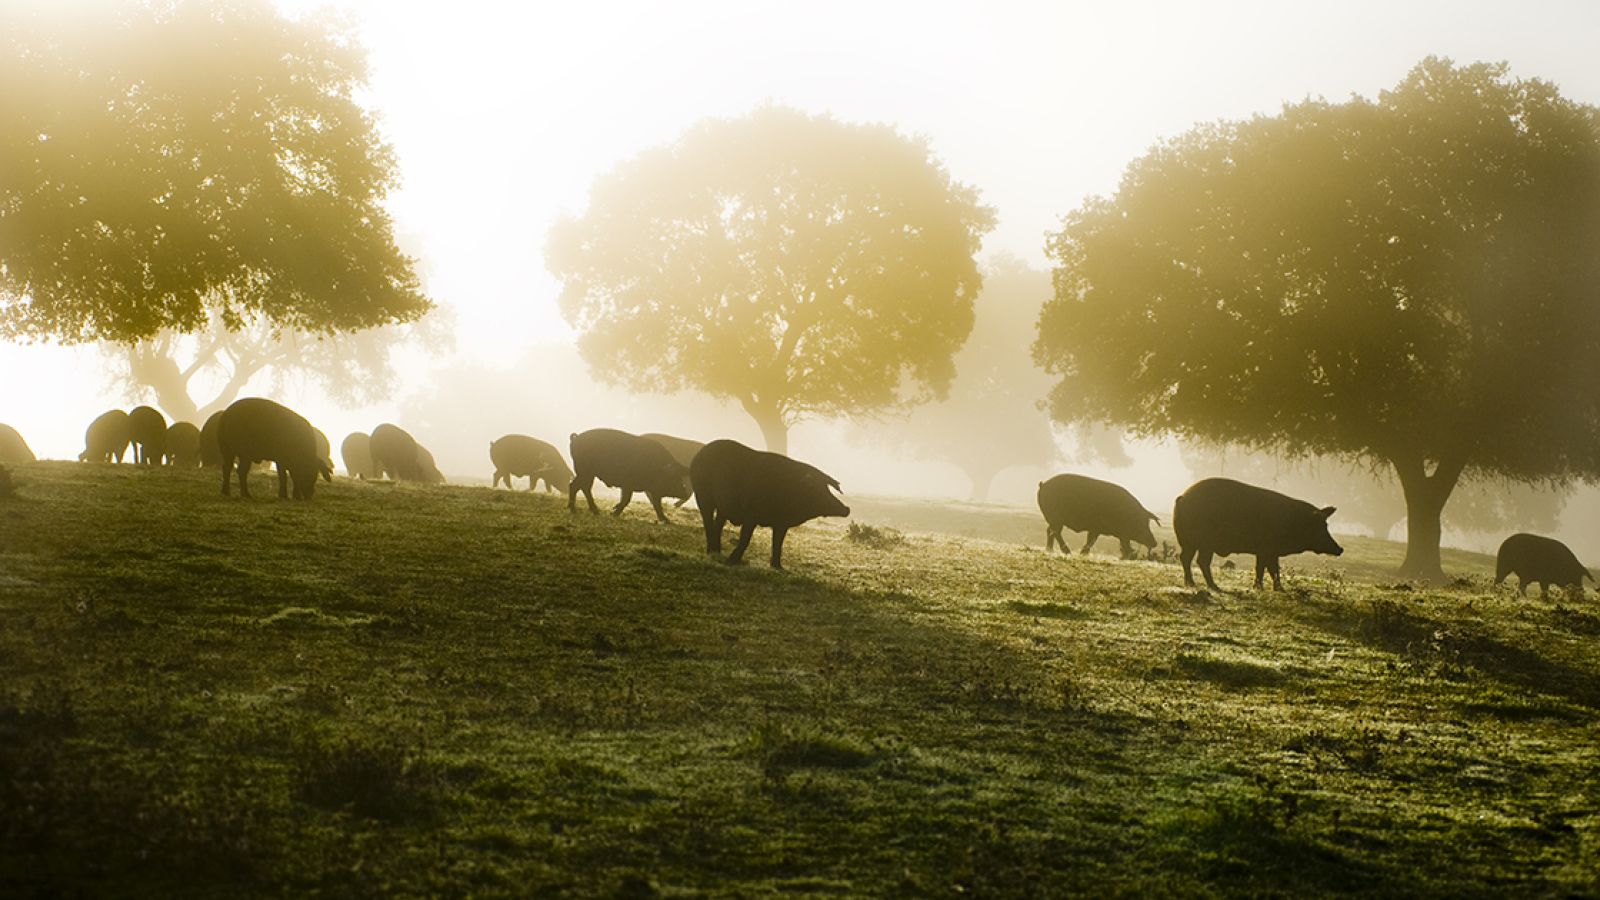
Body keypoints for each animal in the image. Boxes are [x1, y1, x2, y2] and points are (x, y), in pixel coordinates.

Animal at [694, 435, 857, 566]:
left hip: (722, 507)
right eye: (817, 490)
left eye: (826, 489)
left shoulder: (781, 523)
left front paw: (778, 567)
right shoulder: (751, 515)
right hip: (702, 495)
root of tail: (700, 453)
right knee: (708, 522)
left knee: (718, 524)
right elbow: (745, 538)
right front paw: (732, 562)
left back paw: (716, 552)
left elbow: (778, 543)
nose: (847, 509)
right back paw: (711, 552)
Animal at [1036, 474, 1164, 557]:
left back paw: (1050, 550)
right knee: (1054, 532)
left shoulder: (1096, 529)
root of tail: (1043, 485)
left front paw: (1083, 554)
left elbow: (1091, 540)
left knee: (1050, 531)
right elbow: (1122, 543)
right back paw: (1066, 552)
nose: (1155, 542)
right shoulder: (1115, 531)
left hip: (1053, 519)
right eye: (1142, 523)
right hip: (1056, 517)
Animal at [1171, 477, 1344, 589]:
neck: (1293, 522)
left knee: (1186, 558)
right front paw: (1262, 588)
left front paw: (1275, 588)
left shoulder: (1270, 551)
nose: (1340, 549)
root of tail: (1182, 497)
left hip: (1190, 542)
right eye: (1321, 526)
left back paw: (1192, 584)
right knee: (1200, 561)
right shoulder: (1266, 548)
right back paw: (1212, 586)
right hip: (1204, 543)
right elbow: (1265, 567)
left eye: (1326, 525)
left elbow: (1270, 568)